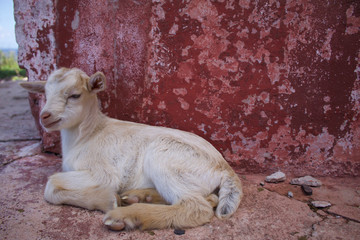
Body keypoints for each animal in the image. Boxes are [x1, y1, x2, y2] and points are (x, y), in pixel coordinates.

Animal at [20, 68, 245, 231]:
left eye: (75, 95)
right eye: (45, 94)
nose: (45, 116)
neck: (88, 135)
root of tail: (225, 168)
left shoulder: (103, 172)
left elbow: (52, 185)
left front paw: (107, 200)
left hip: (165, 157)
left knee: (197, 207)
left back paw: (126, 216)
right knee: (210, 198)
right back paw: (139, 197)